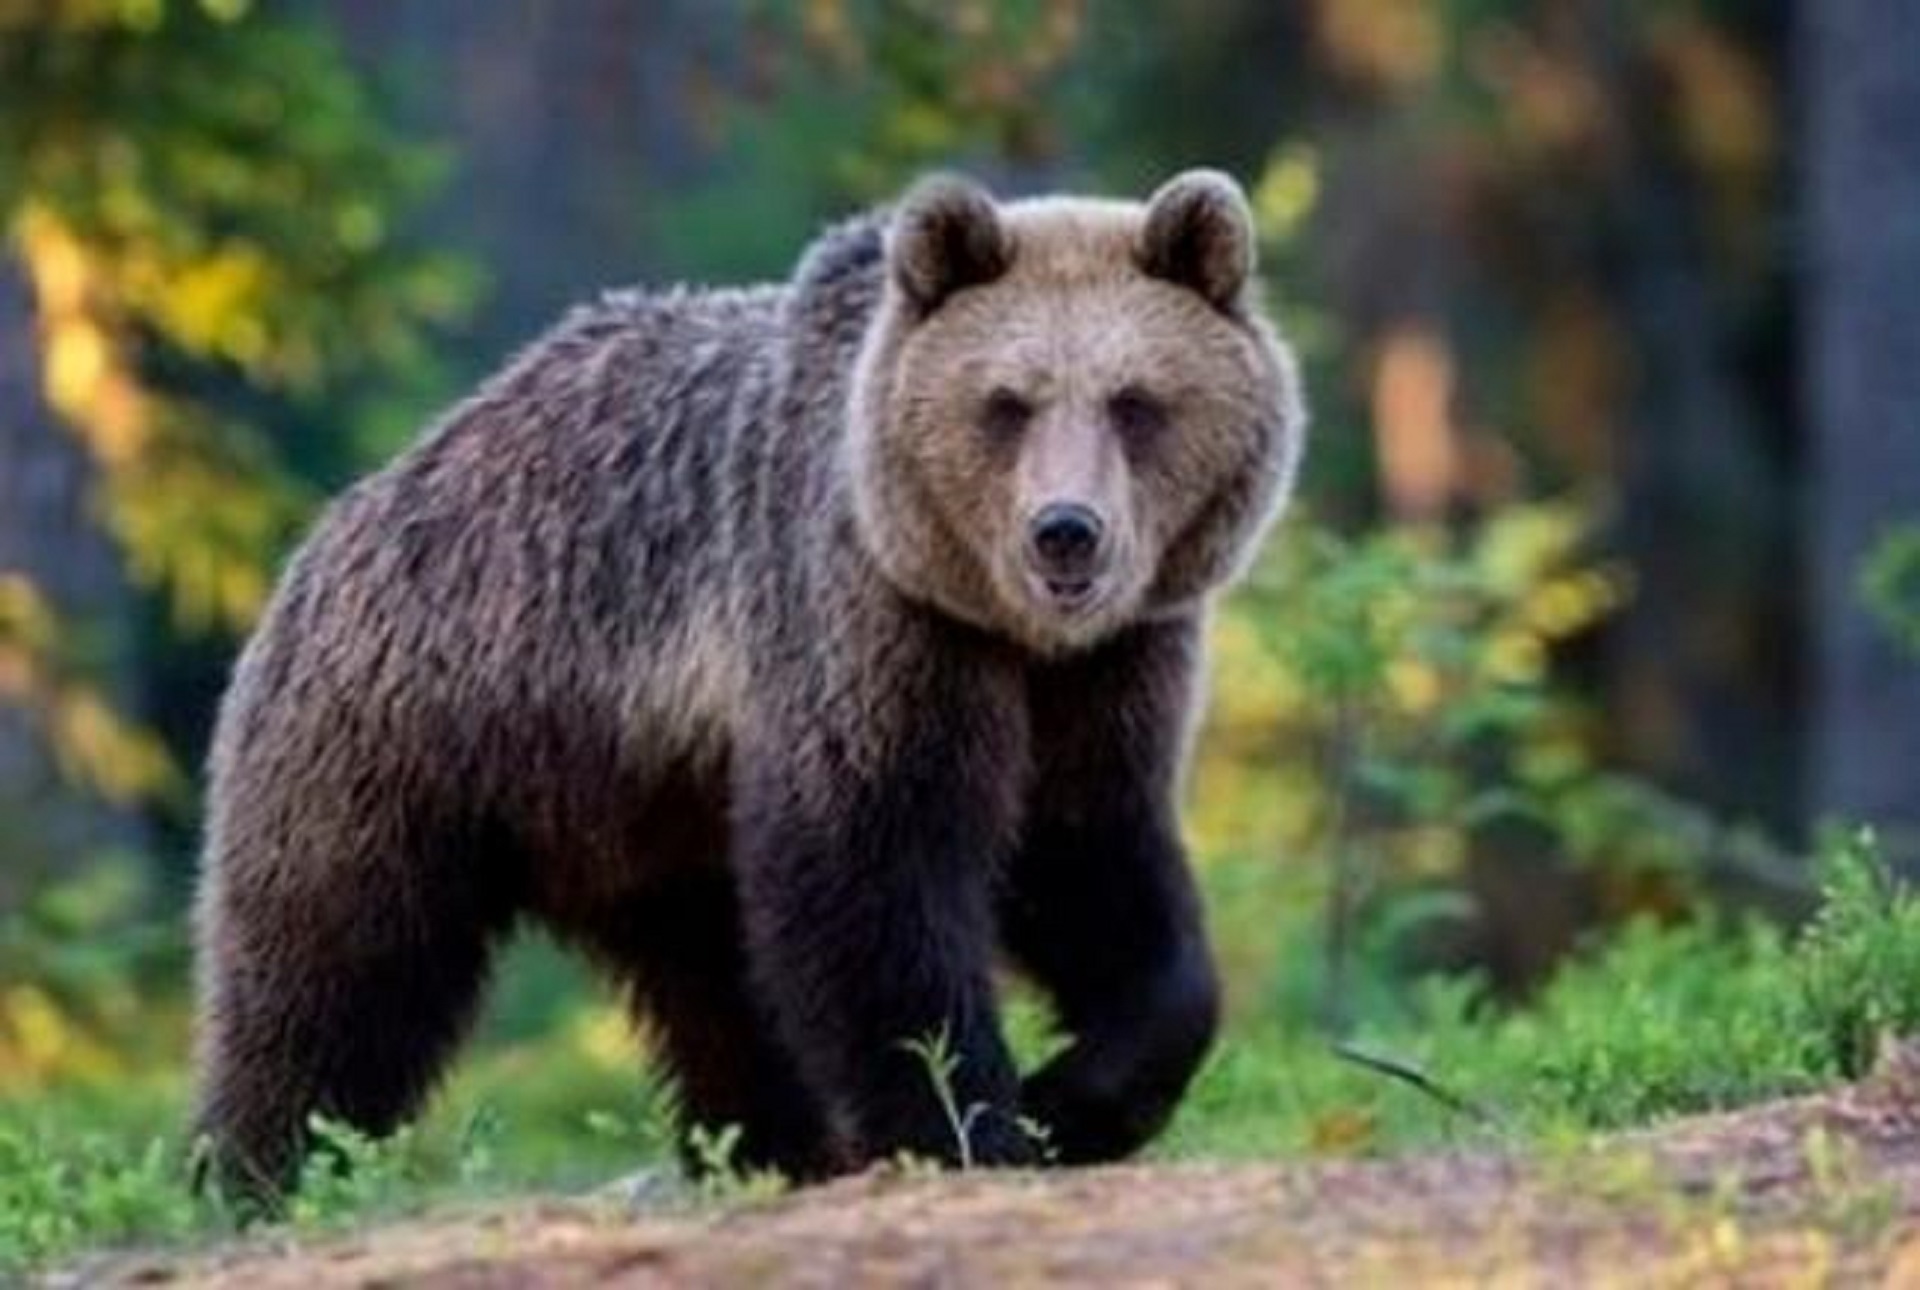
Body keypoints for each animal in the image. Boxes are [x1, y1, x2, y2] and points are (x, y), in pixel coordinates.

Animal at [191, 168, 1306, 1200]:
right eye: (1007, 404)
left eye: (1136, 402)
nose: (1066, 533)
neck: (1014, 631)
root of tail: (343, 519)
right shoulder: (868, 627)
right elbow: (875, 879)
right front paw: (975, 1123)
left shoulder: (1108, 668)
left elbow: (1096, 866)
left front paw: (1073, 1096)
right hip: (412, 735)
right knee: (334, 970)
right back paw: (266, 1173)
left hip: (654, 825)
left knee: (717, 989)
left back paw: (767, 1147)